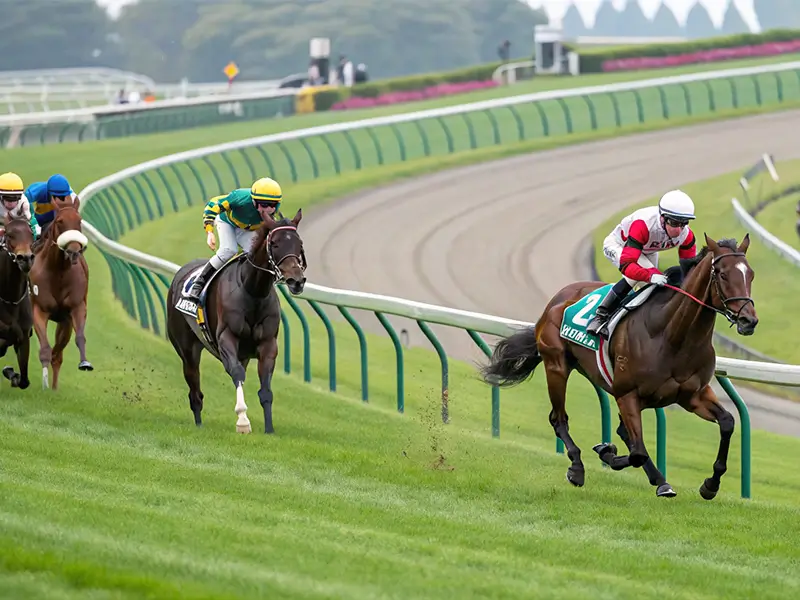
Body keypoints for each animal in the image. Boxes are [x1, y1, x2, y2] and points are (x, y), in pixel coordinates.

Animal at [29, 196, 93, 391]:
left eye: (79, 221)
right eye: (59, 221)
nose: (73, 250)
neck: (58, 272)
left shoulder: (74, 310)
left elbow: (77, 339)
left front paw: (84, 363)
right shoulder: (39, 310)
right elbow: (45, 349)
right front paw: (44, 385)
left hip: (64, 323)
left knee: (58, 354)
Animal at [166, 210, 307, 434]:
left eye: (299, 243)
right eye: (275, 244)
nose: (296, 280)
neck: (253, 291)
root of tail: (181, 272)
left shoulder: (268, 344)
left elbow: (265, 388)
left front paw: (269, 428)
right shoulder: (227, 339)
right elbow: (237, 373)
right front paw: (243, 421)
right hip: (187, 349)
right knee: (195, 389)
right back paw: (198, 423)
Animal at [481, 234, 757, 500]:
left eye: (751, 274)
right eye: (723, 274)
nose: (749, 320)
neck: (672, 336)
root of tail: (558, 298)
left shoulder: (693, 395)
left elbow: (728, 422)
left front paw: (710, 484)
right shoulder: (627, 394)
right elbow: (637, 452)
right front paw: (606, 452)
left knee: (624, 432)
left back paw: (660, 481)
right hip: (556, 365)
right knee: (559, 419)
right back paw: (578, 467)